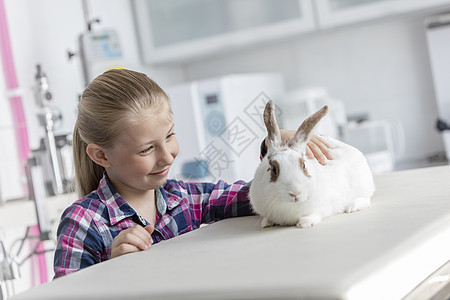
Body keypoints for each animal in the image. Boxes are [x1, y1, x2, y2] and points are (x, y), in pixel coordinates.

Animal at [251, 99, 374, 229]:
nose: (295, 193)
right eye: (273, 169)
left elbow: (317, 214)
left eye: (304, 165)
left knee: (367, 199)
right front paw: (266, 223)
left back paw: (352, 206)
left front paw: (304, 223)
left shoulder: (325, 206)